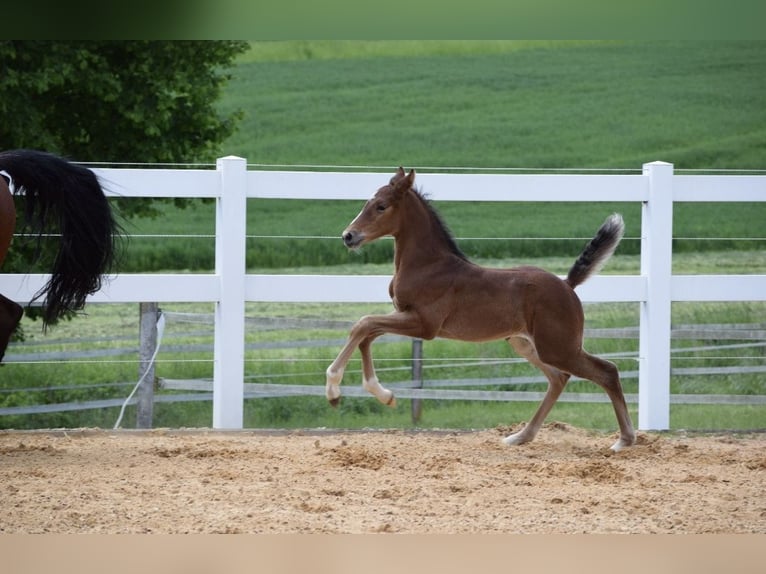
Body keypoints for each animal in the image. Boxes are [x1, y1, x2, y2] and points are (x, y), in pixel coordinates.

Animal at [328, 169, 640, 452]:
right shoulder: (406, 317)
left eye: (381, 206)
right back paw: (520, 436)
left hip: (559, 347)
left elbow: (364, 324)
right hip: (525, 343)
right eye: (366, 203)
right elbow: (366, 333)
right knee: (558, 378)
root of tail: (567, 284)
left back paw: (625, 439)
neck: (428, 265)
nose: (348, 236)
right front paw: (382, 394)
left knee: (606, 371)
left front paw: (334, 389)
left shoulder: (424, 325)